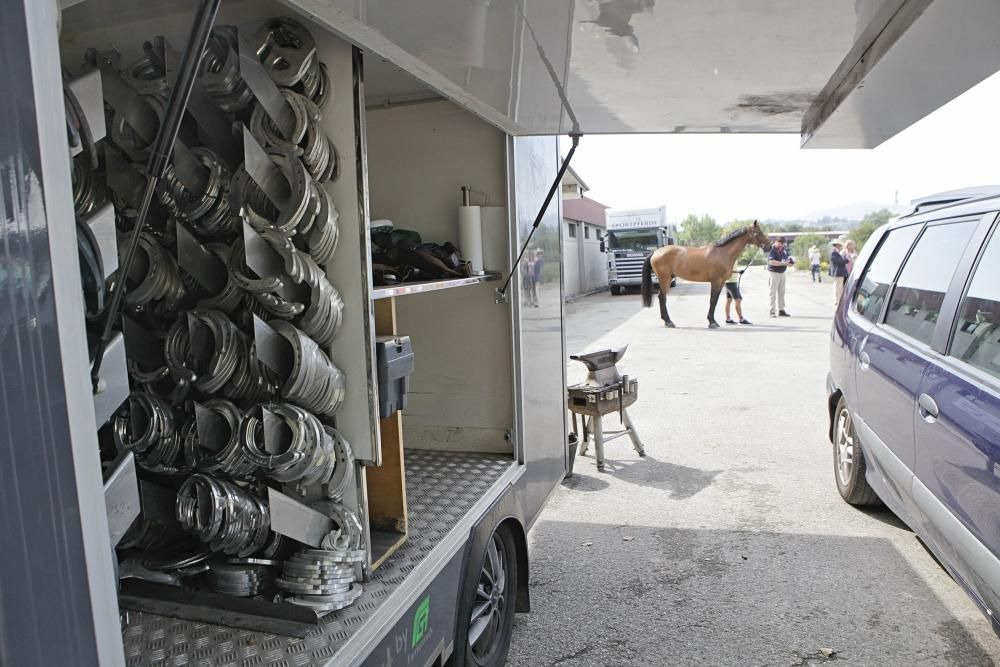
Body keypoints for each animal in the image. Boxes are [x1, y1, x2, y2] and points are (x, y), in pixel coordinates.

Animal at [640, 222, 772, 328]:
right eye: (758, 232)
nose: (769, 246)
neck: (722, 253)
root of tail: (655, 252)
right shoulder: (716, 281)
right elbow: (712, 300)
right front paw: (711, 322)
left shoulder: (721, 282)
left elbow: (716, 300)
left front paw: (713, 321)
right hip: (665, 280)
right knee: (662, 298)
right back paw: (668, 322)